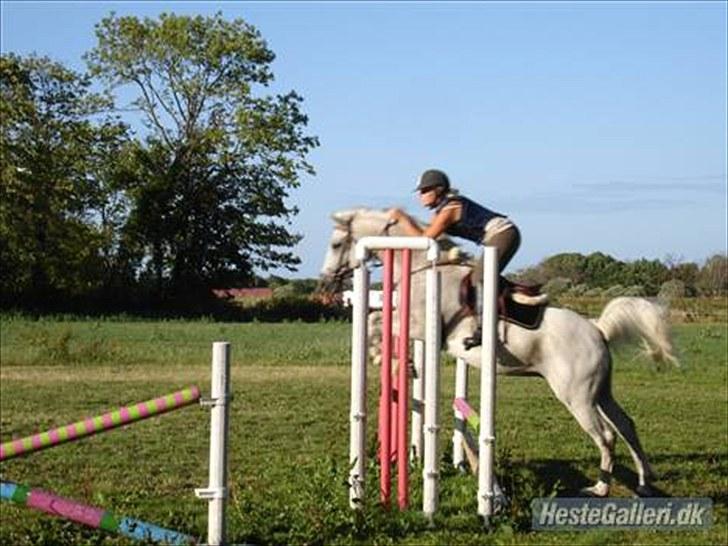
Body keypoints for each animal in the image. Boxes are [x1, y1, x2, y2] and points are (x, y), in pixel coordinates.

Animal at [318, 206, 676, 496]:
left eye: (335, 245)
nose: (324, 282)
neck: (423, 265)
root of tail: (597, 328)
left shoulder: (421, 325)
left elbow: (377, 321)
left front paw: (382, 355)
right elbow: (377, 320)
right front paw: (396, 361)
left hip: (577, 396)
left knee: (606, 435)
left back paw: (600, 488)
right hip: (600, 391)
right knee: (626, 424)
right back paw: (644, 482)